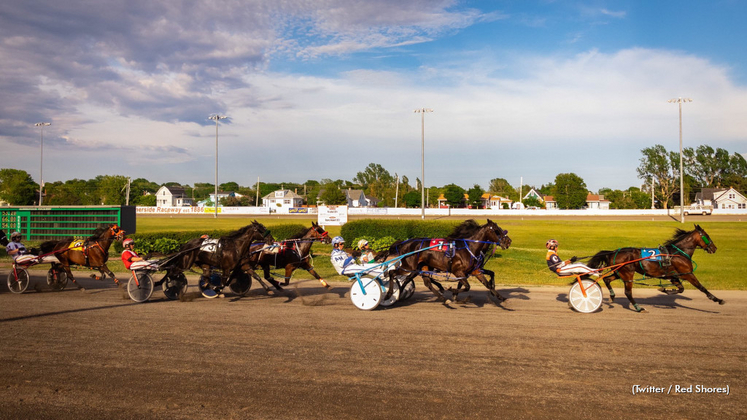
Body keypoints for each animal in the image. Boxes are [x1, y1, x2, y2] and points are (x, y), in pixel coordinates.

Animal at [382, 220, 512, 306]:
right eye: (497, 231)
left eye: (500, 228)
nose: (508, 241)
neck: (469, 248)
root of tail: (404, 243)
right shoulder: (458, 271)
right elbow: (467, 286)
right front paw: (452, 291)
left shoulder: (475, 270)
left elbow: (487, 283)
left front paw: (502, 297)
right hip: (408, 266)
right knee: (392, 273)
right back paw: (390, 294)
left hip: (421, 266)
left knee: (426, 282)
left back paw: (442, 298)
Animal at [588, 226, 720, 312]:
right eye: (707, 236)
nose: (714, 248)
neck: (678, 253)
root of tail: (613, 252)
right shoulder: (688, 274)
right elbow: (701, 287)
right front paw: (717, 299)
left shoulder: (673, 276)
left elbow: (681, 289)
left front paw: (666, 290)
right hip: (627, 274)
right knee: (628, 292)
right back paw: (638, 308)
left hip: (619, 272)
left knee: (607, 280)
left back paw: (612, 296)